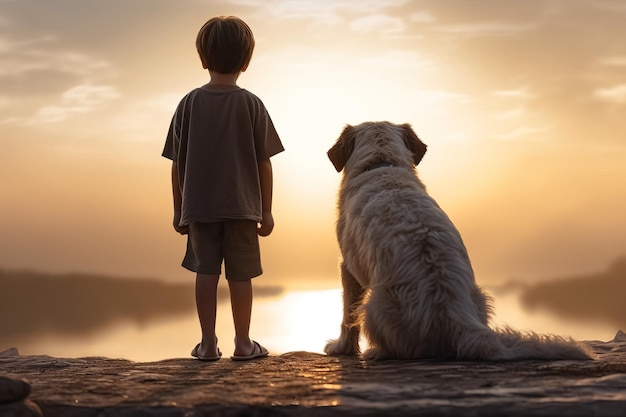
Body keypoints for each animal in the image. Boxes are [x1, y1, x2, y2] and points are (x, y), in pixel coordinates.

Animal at [324, 121, 592, 360]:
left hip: (373, 307)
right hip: (480, 296)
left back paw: (378, 352)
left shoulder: (348, 266)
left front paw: (342, 347)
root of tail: (453, 316)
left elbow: (348, 315)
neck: (381, 165)